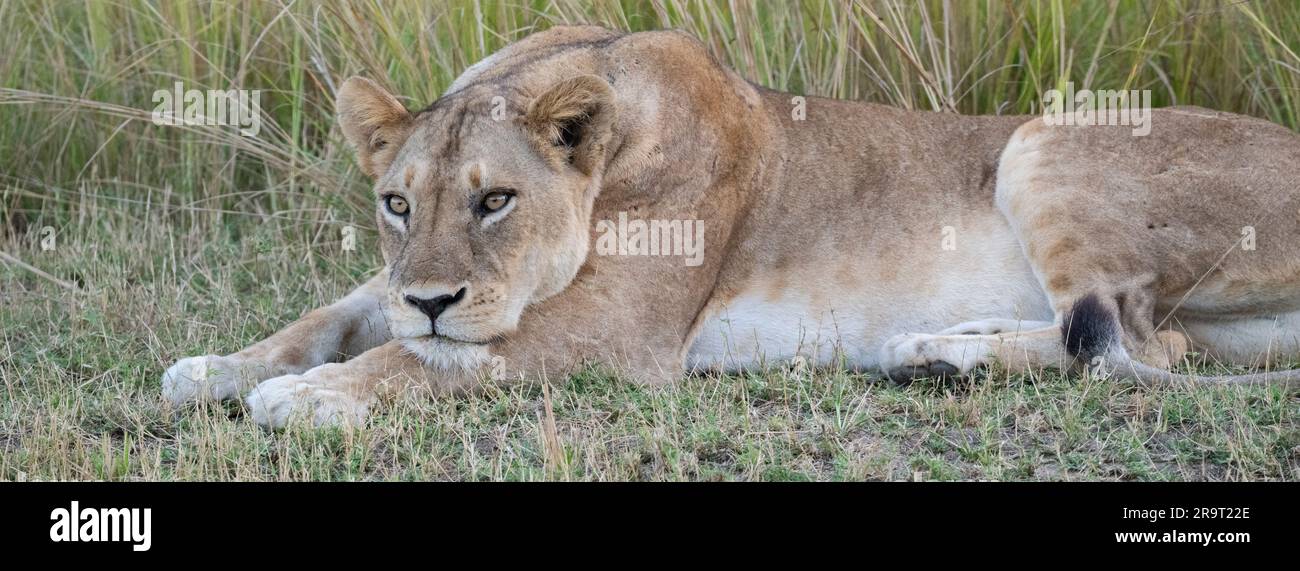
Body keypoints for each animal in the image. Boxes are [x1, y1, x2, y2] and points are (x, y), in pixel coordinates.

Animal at [162, 26, 1300, 428]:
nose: (434, 296)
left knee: (1138, 345)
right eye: (396, 202)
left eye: (496, 200)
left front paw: (310, 396)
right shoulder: (394, 285)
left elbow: (431, 357)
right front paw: (218, 365)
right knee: (1154, 344)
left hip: (1041, 141)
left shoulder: (617, 335)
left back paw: (947, 355)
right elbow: (330, 316)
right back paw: (937, 352)